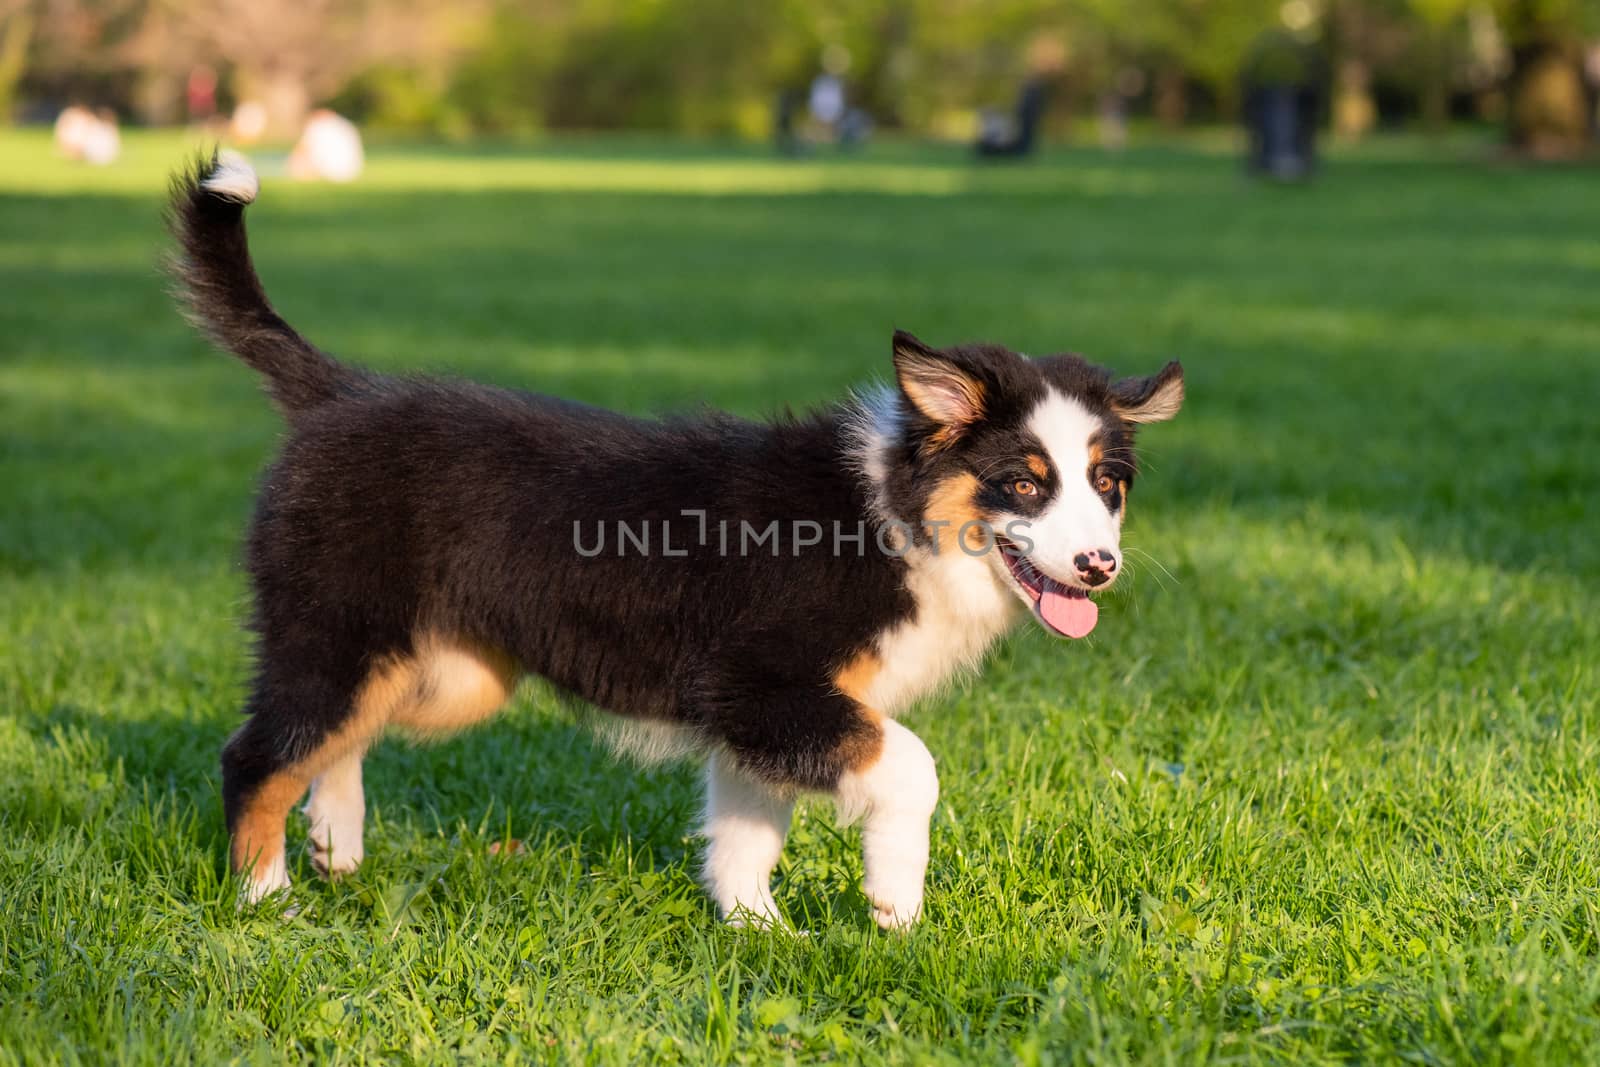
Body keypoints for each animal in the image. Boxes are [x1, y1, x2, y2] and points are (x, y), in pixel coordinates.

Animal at [172, 147, 1190, 927]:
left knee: (333, 739)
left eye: (1107, 486)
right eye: (1024, 482)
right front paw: (895, 907)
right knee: (256, 754)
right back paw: (265, 898)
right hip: (338, 625)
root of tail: (337, 393)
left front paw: (758, 930)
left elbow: (748, 829)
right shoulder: (759, 682)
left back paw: (334, 842)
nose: (1100, 566)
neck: (891, 517)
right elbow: (912, 767)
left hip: (446, 672)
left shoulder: (754, 718)